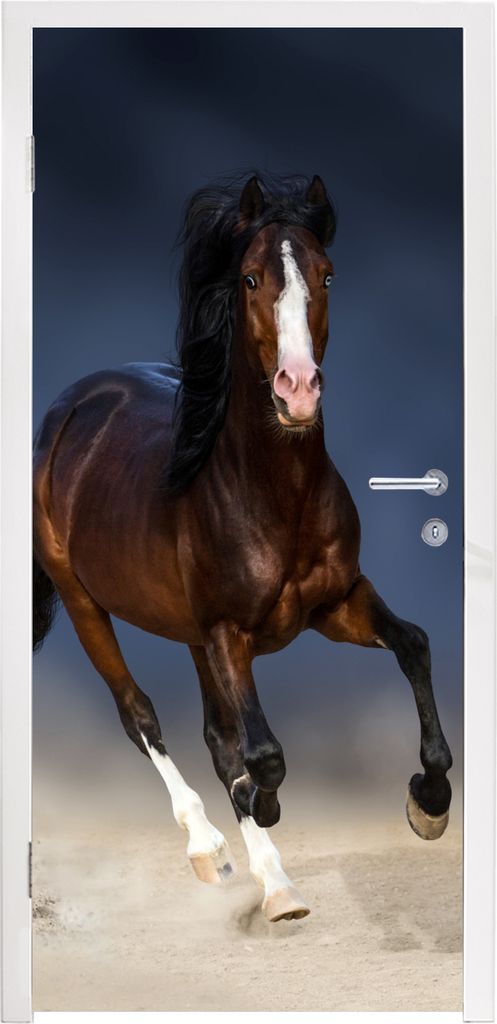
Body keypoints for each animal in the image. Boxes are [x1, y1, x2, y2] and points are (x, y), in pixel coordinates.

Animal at [33, 172, 453, 923]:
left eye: (326, 273)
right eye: (252, 277)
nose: (298, 390)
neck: (272, 495)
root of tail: (72, 405)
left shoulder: (336, 605)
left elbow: (413, 645)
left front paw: (428, 802)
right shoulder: (231, 632)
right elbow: (264, 754)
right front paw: (262, 806)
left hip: (190, 633)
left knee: (213, 734)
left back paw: (275, 881)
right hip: (85, 604)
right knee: (141, 715)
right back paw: (214, 850)